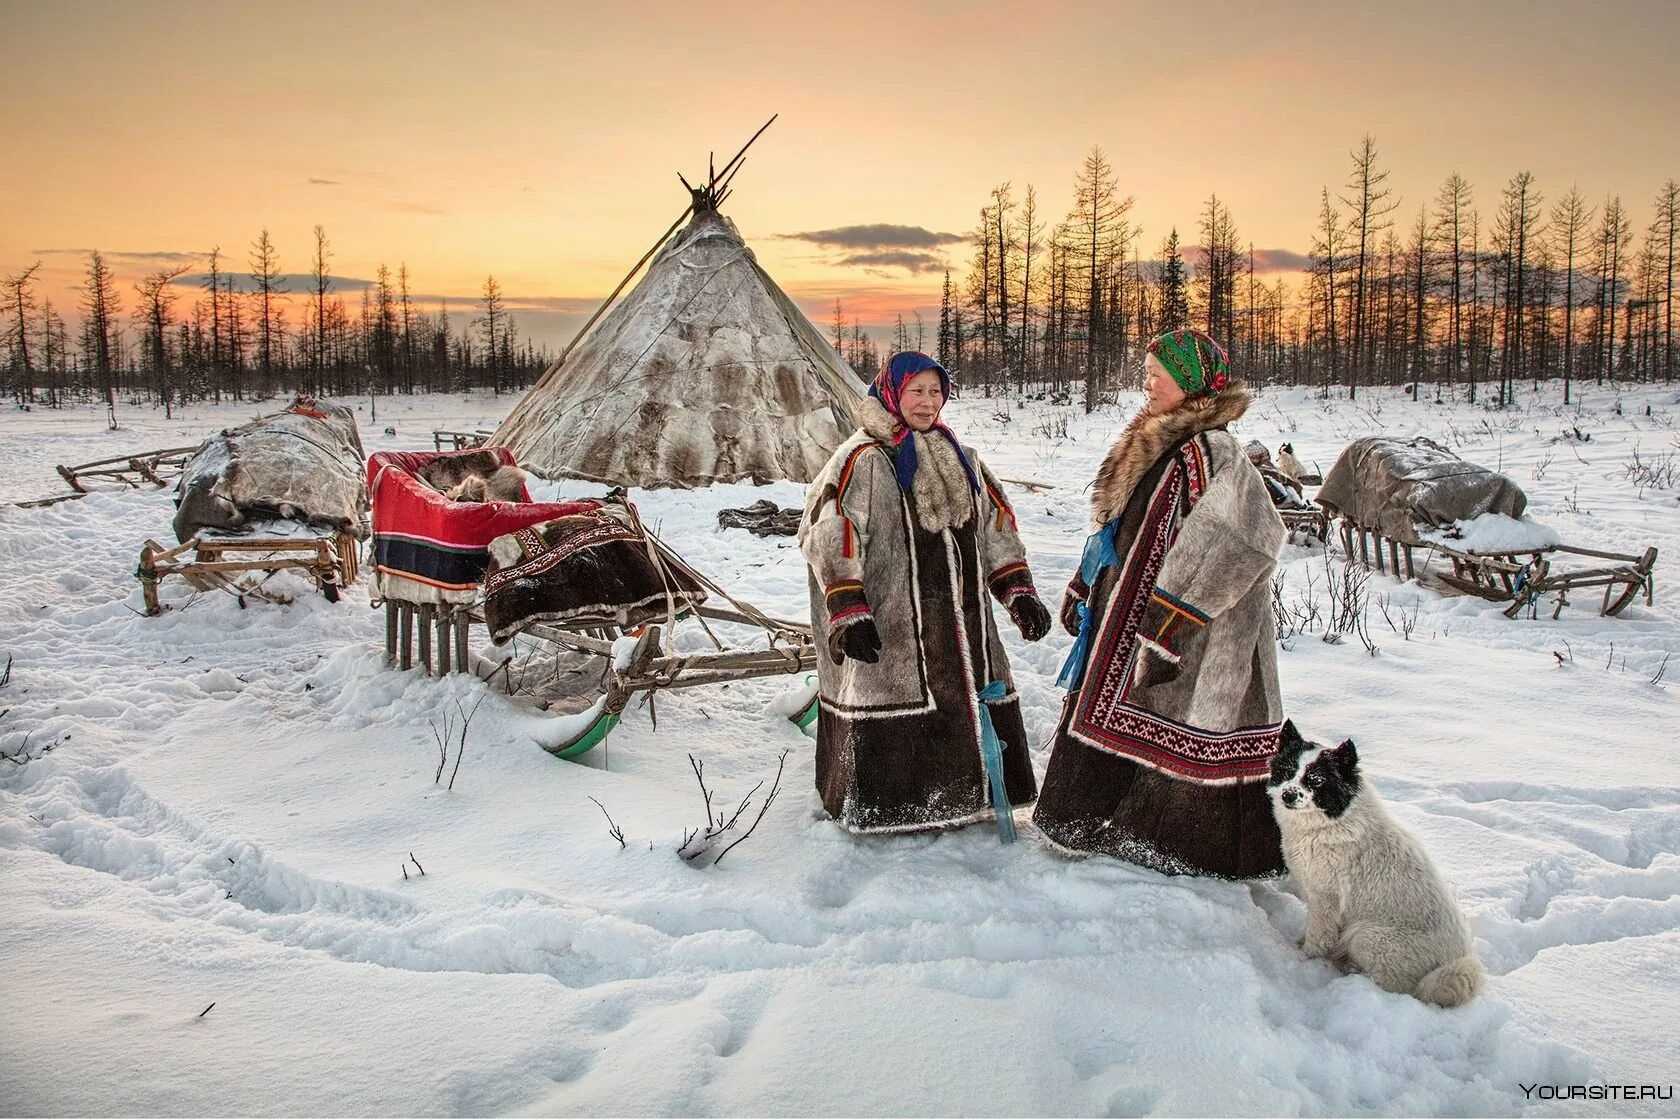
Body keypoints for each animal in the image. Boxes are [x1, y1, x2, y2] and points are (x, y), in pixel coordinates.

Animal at [1270, 722, 1485, 1014]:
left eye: (1316, 780)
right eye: (1288, 770)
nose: (1288, 795)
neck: (1332, 823)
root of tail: (1455, 962)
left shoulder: (1325, 898)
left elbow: (1319, 937)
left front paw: (1305, 959)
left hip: (1367, 936)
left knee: (1393, 984)